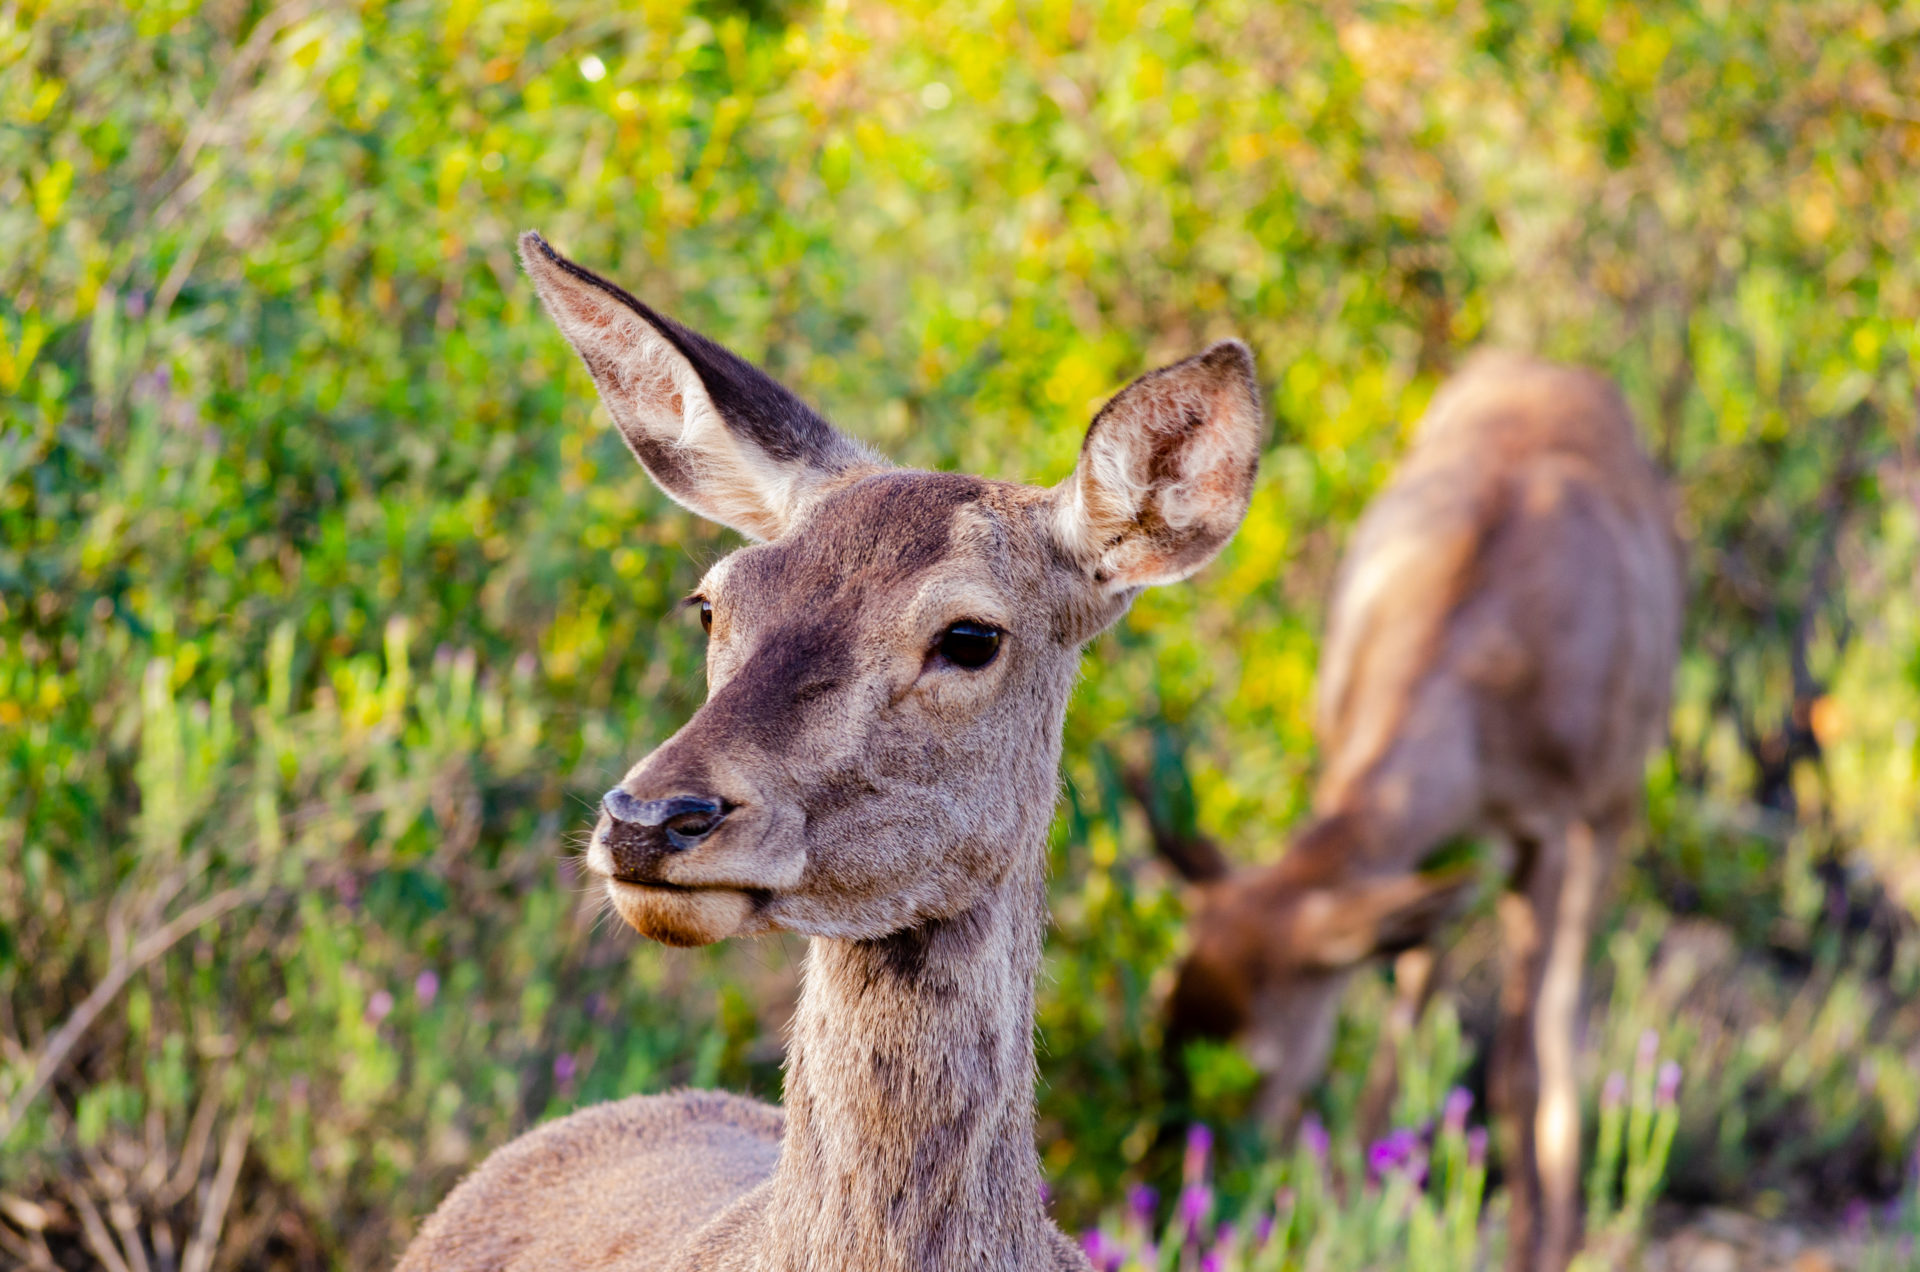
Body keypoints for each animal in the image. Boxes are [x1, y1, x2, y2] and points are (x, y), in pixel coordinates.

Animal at [1144, 353, 1674, 1272]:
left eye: (1258, 1065)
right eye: (1162, 1014)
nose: (1182, 1195)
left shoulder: (1552, 820)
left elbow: (1514, 1068)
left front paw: (1524, 1251)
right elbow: (1391, 1034)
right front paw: (1343, 1212)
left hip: (1617, 795)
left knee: (1562, 1011)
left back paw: (1565, 1230)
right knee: (1425, 977)